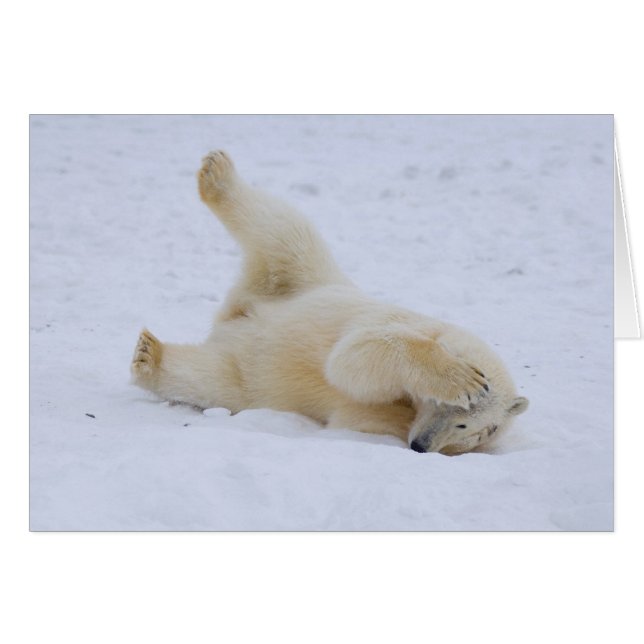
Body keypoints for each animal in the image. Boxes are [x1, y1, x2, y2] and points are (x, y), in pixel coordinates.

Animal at [131, 151, 529, 454]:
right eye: (452, 407)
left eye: (467, 427)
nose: (421, 446)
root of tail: (237, 312)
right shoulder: (404, 322)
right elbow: (356, 355)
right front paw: (463, 378)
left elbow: (357, 411)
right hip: (307, 277)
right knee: (284, 230)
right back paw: (218, 174)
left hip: (249, 374)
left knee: (211, 379)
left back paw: (151, 356)